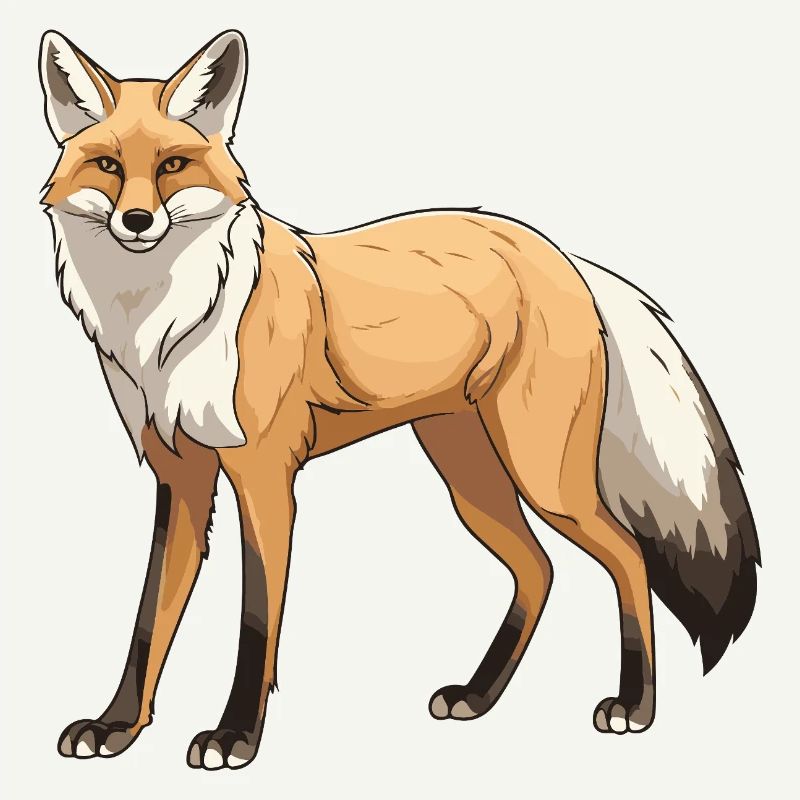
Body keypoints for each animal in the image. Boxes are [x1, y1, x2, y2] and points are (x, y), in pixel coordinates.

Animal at [39, 29, 760, 770]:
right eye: (107, 166)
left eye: (174, 165)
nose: (136, 220)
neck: (169, 326)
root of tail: (560, 252)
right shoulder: (179, 476)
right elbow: (148, 619)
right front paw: (118, 726)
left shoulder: (264, 478)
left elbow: (255, 620)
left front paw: (235, 735)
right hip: (469, 477)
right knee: (539, 569)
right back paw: (478, 695)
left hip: (545, 478)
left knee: (628, 557)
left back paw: (635, 706)